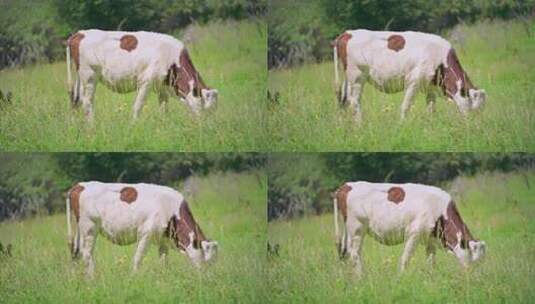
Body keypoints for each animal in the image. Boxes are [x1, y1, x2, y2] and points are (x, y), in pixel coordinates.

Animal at [66, 29, 219, 121]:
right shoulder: (146, 81)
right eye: (207, 108)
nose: (207, 126)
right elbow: (138, 105)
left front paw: (163, 125)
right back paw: (92, 126)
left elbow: (163, 108)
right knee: (87, 101)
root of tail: (80, 33)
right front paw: (133, 125)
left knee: (76, 100)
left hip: (81, 78)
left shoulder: (162, 87)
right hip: (89, 76)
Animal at [66, 180, 218, 278]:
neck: (172, 209)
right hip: (89, 228)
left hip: (80, 229)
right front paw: (134, 277)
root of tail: (80, 185)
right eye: (208, 260)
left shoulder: (162, 239)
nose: (207, 277)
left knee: (75, 251)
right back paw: (91, 278)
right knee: (86, 253)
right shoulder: (146, 233)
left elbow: (163, 261)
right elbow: (138, 258)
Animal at [332, 29, 488, 120]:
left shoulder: (430, 87)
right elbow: (405, 106)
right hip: (357, 77)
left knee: (345, 100)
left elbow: (431, 108)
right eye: (475, 108)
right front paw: (402, 125)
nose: (475, 125)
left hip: (348, 78)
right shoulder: (413, 82)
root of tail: (347, 33)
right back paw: (359, 124)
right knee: (354, 101)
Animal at [332, 182, 488, 276]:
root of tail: (346, 186)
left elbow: (431, 261)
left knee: (344, 253)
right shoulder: (414, 233)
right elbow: (405, 259)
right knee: (354, 254)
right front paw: (401, 278)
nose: (474, 277)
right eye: (475, 259)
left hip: (348, 231)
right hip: (357, 229)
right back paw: (360, 278)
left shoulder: (430, 239)